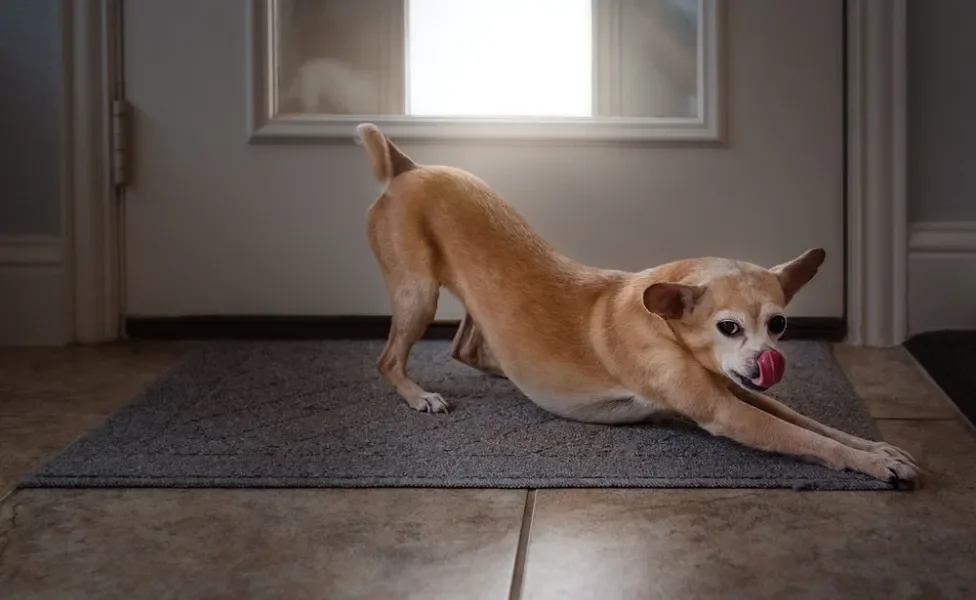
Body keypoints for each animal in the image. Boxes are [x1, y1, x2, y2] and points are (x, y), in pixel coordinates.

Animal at [354, 120, 920, 488]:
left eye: (778, 324)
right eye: (729, 327)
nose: (767, 361)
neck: (666, 327)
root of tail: (408, 168)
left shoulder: (739, 391)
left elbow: (812, 424)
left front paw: (877, 447)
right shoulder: (726, 410)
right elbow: (808, 439)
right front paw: (875, 465)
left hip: (471, 297)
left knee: (464, 346)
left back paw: (500, 371)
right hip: (417, 295)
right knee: (387, 359)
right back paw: (419, 395)